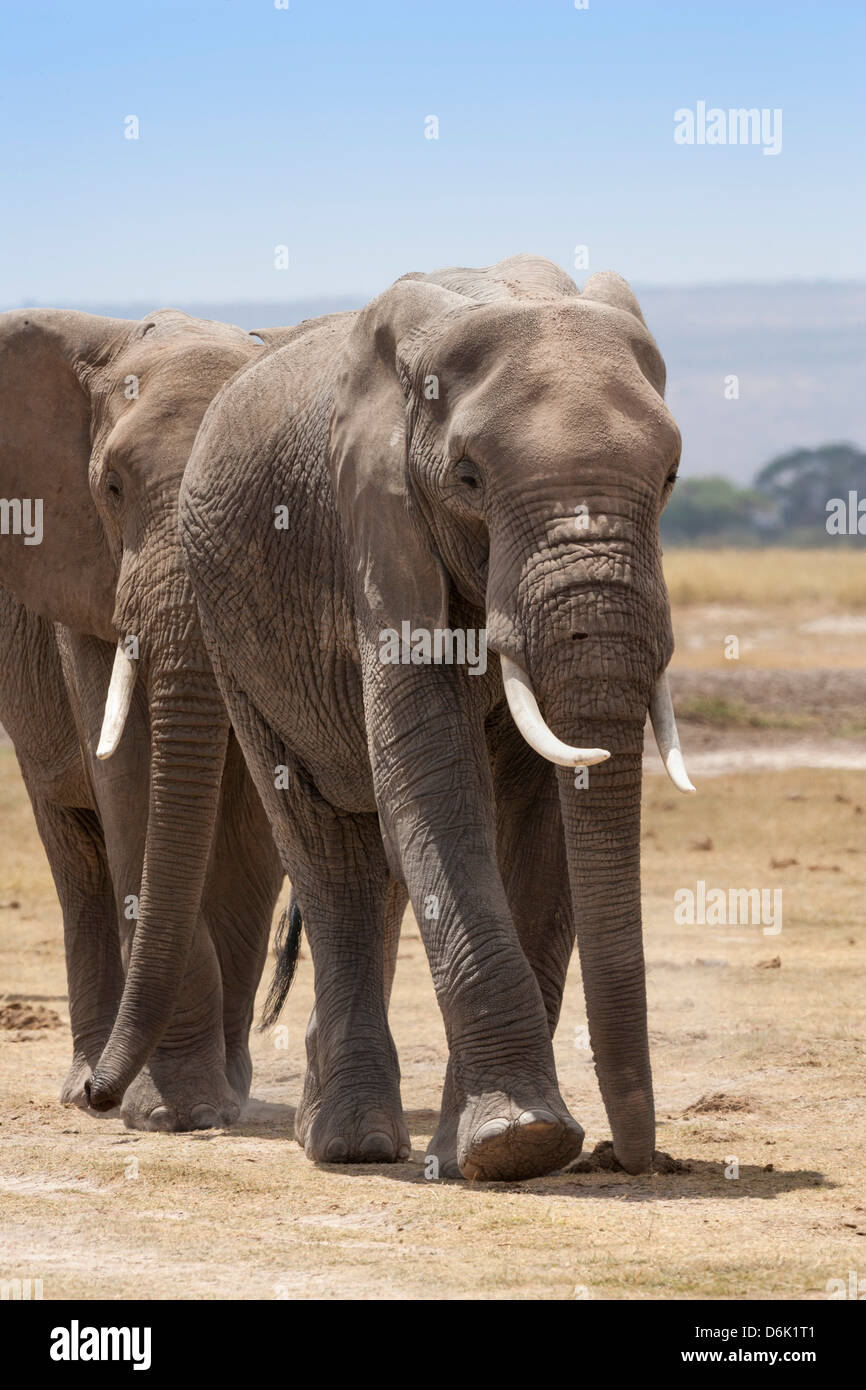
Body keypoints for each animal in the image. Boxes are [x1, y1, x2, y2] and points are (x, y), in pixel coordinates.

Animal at [0, 307, 284, 1128]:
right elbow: (126, 784)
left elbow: (253, 823)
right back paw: (84, 1079)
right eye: (113, 487)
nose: (105, 1096)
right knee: (76, 849)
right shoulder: (86, 574)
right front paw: (168, 1112)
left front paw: (211, 1105)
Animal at [179, 255, 695, 1178]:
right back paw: (349, 1146)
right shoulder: (376, 528)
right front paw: (518, 1145)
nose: (635, 1159)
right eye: (468, 480)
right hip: (226, 627)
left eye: (670, 476)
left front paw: (490, 1150)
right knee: (326, 848)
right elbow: (436, 779)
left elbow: (541, 811)